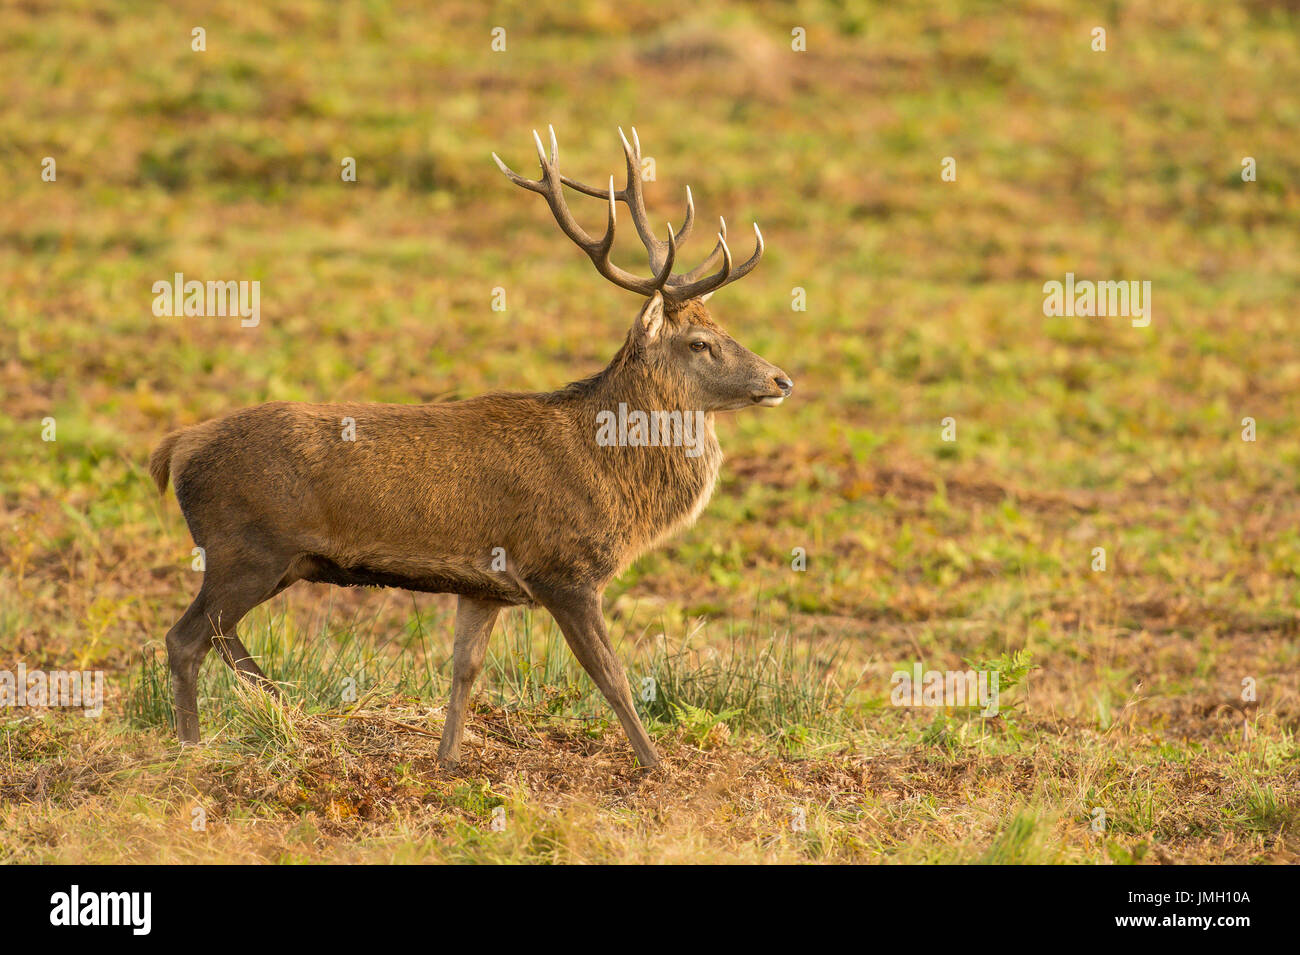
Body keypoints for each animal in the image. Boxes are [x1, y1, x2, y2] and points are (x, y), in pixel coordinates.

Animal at [147, 127, 785, 769]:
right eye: (700, 342)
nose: (781, 379)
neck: (612, 474)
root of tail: (177, 447)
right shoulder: (564, 570)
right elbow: (611, 675)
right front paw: (656, 765)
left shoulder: (485, 585)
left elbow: (464, 669)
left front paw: (448, 759)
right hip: (244, 548)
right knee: (185, 639)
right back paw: (193, 747)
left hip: (275, 561)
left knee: (220, 637)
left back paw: (282, 712)